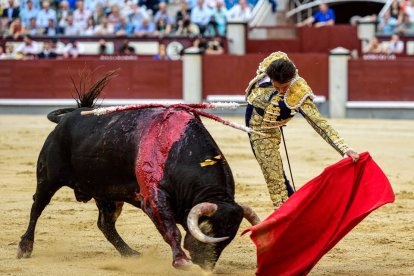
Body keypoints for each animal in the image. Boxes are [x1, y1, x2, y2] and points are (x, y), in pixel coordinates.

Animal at [19, 88, 260, 270]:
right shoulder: (154, 199)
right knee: (37, 207)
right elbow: (171, 229)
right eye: (208, 231)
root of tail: (67, 118)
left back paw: (130, 253)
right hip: (48, 177)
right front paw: (182, 262)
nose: (206, 267)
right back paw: (24, 248)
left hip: (106, 193)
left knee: (105, 224)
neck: (178, 150)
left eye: (229, 238)